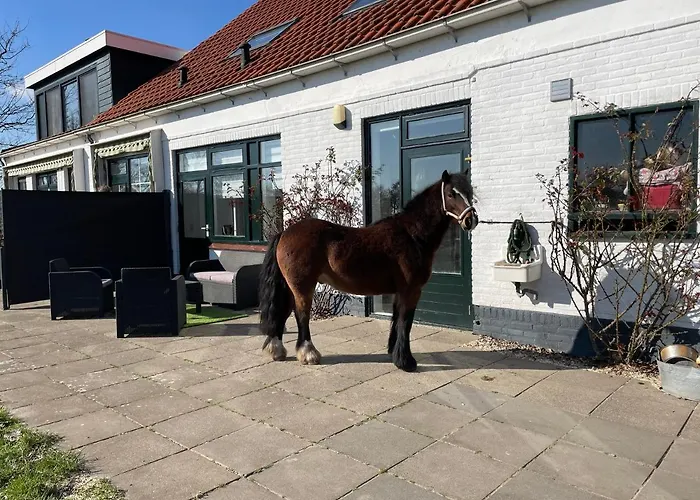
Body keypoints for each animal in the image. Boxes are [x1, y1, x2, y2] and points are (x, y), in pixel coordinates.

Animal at [258, 169, 478, 372]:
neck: (412, 234)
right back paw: (308, 354)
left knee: (283, 311)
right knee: (301, 315)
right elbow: (405, 322)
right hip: (303, 287)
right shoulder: (411, 290)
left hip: (290, 287)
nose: (471, 220)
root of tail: (285, 232)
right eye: (451, 194)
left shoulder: (400, 292)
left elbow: (396, 321)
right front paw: (406, 362)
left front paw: (394, 354)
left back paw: (277, 350)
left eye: (469, 191)